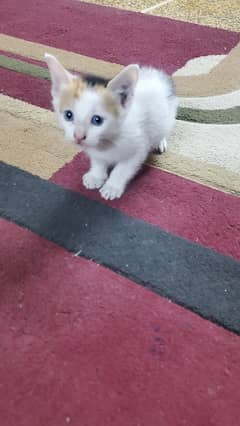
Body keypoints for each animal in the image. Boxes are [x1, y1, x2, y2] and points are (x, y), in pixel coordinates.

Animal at [45, 53, 177, 200]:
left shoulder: (138, 148)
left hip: (165, 118)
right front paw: (96, 176)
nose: (78, 136)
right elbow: (98, 160)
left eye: (97, 120)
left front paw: (112, 187)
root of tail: (154, 74)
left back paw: (160, 142)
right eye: (68, 115)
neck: (107, 140)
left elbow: (123, 169)